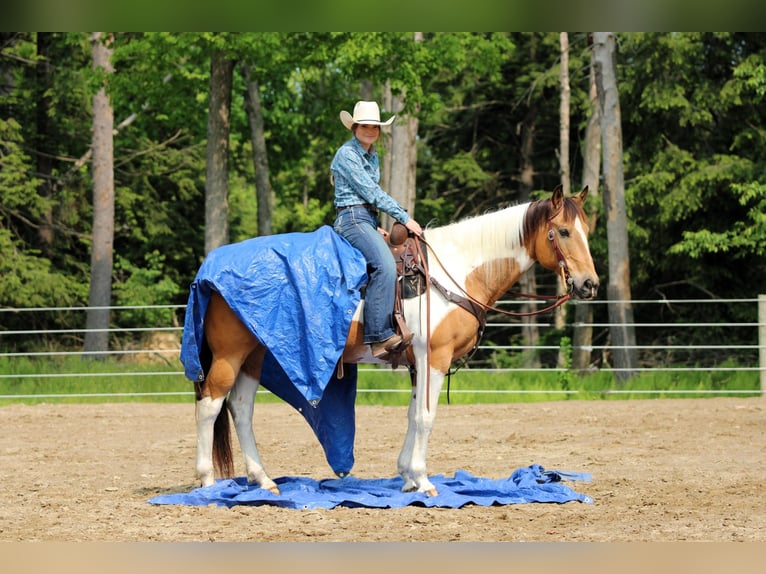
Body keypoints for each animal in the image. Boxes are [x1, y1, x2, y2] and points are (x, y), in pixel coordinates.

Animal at [192, 184, 598, 496]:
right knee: (210, 405)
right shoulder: (435, 357)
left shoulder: (418, 362)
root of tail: (209, 270)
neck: (457, 271)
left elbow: (411, 414)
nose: (590, 284)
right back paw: (207, 481)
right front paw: (423, 480)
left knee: (240, 408)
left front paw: (406, 476)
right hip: (230, 355)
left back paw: (263, 480)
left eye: (587, 230)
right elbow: (426, 417)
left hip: (255, 355)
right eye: (563, 232)